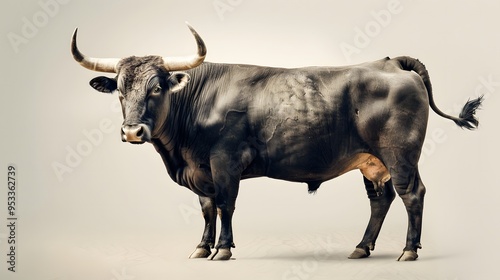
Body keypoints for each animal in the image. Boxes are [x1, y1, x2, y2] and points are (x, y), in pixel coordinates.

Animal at [69, 23, 480, 262]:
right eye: (120, 89)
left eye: (156, 88)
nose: (132, 132)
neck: (180, 153)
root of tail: (391, 62)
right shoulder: (201, 171)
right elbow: (206, 208)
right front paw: (202, 247)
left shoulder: (225, 162)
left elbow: (225, 205)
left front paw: (223, 249)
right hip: (371, 161)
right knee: (381, 199)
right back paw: (362, 248)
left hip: (400, 155)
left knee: (412, 193)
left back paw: (409, 251)